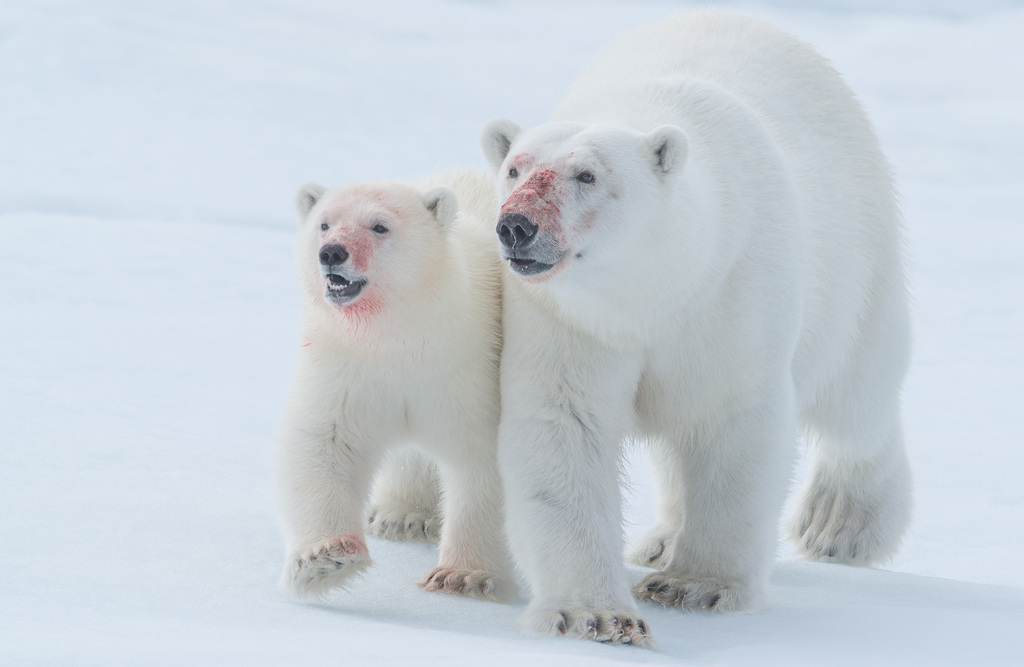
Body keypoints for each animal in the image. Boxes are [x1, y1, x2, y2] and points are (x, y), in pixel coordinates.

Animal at [273, 170, 513, 602]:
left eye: (379, 226)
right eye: (324, 223)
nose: (331, 253)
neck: (400, 336)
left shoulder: (470, 366)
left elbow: (484, 458)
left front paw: (464, 576)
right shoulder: (347, 366)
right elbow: (325, 441)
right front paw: (325, 559)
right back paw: (402, 516)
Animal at [480, 10, 911, 646]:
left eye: (586, 175)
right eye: (516, 167)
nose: (517, 225)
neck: (649, 294)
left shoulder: (730, 291)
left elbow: (731, 420)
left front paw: (698, 587)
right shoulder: (568, 320)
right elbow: (564, 427)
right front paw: (593, 614)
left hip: (858, 251)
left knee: (860, 391)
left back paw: (840, 523)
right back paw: (661, 542)